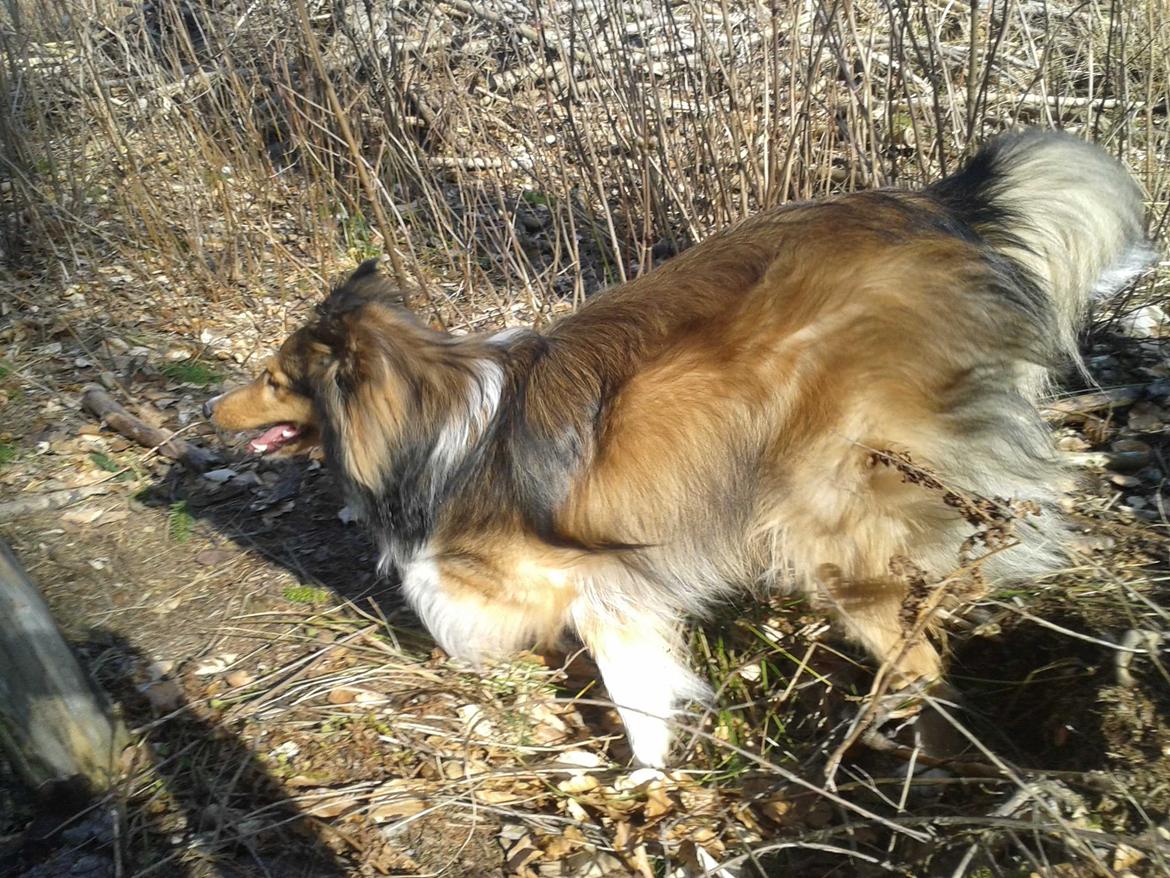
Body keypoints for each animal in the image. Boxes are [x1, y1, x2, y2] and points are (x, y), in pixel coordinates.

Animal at [208, 132, 1151, 767]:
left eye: (272, 377)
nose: (210, 411)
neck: (430, 429)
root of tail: (938, 203)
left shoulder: (596, 583)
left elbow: (630, 688)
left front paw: (647, 772)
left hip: (831, 509)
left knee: (921, 635)